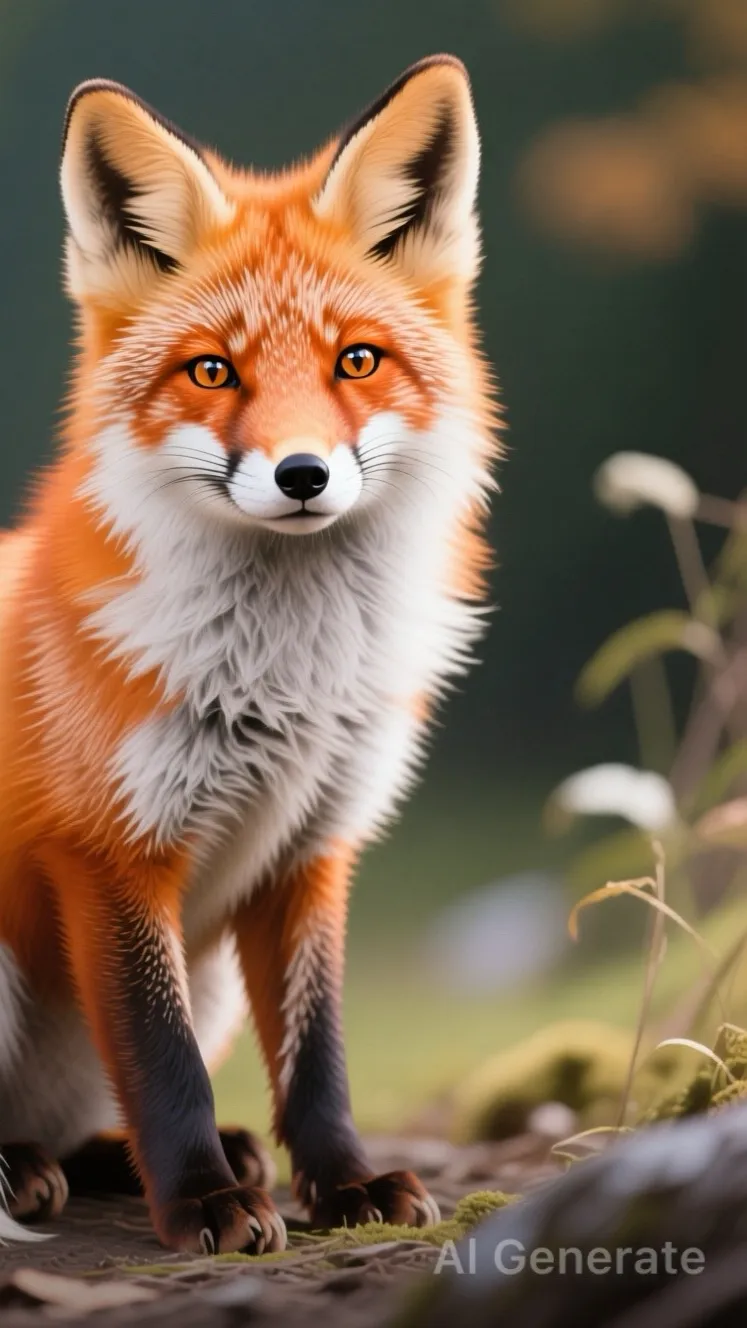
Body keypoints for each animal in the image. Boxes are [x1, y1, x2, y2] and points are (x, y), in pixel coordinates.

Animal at [0, 56, 498, 1254]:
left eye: (356, 360)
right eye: (212, 372)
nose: (303, 474)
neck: (287, 681)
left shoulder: (311, 850)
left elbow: (318, 1057)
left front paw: (345, 1185)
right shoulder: (110, 852)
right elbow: (160, 1055)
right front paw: (203, 1204)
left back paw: (107, 1161)